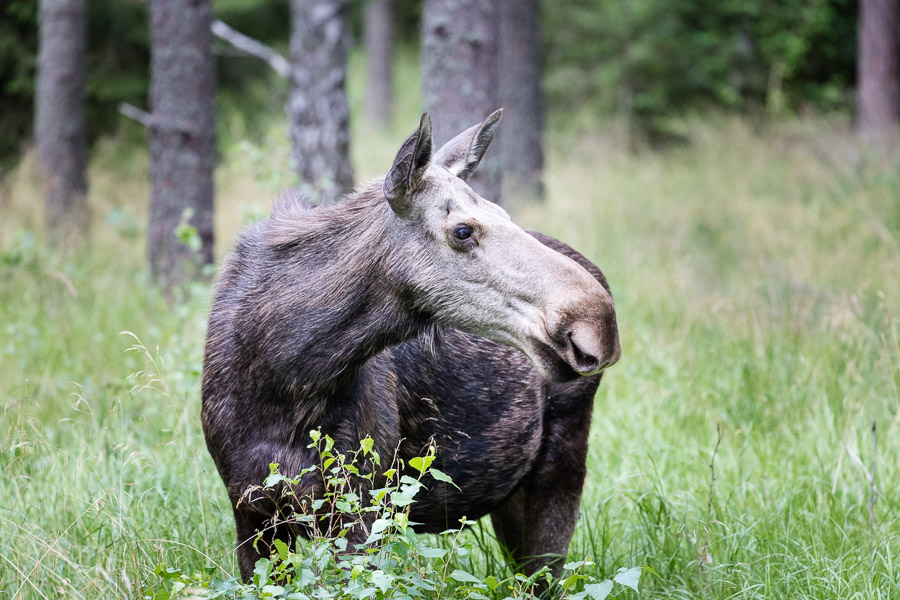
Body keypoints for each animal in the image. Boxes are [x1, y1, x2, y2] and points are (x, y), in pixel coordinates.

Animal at [200, 110, 624, 584]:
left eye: (502, 212)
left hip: (561, 464)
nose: (597, 324)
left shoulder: (361, 510)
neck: (284, 376)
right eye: (463, 230)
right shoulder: (251, 514)